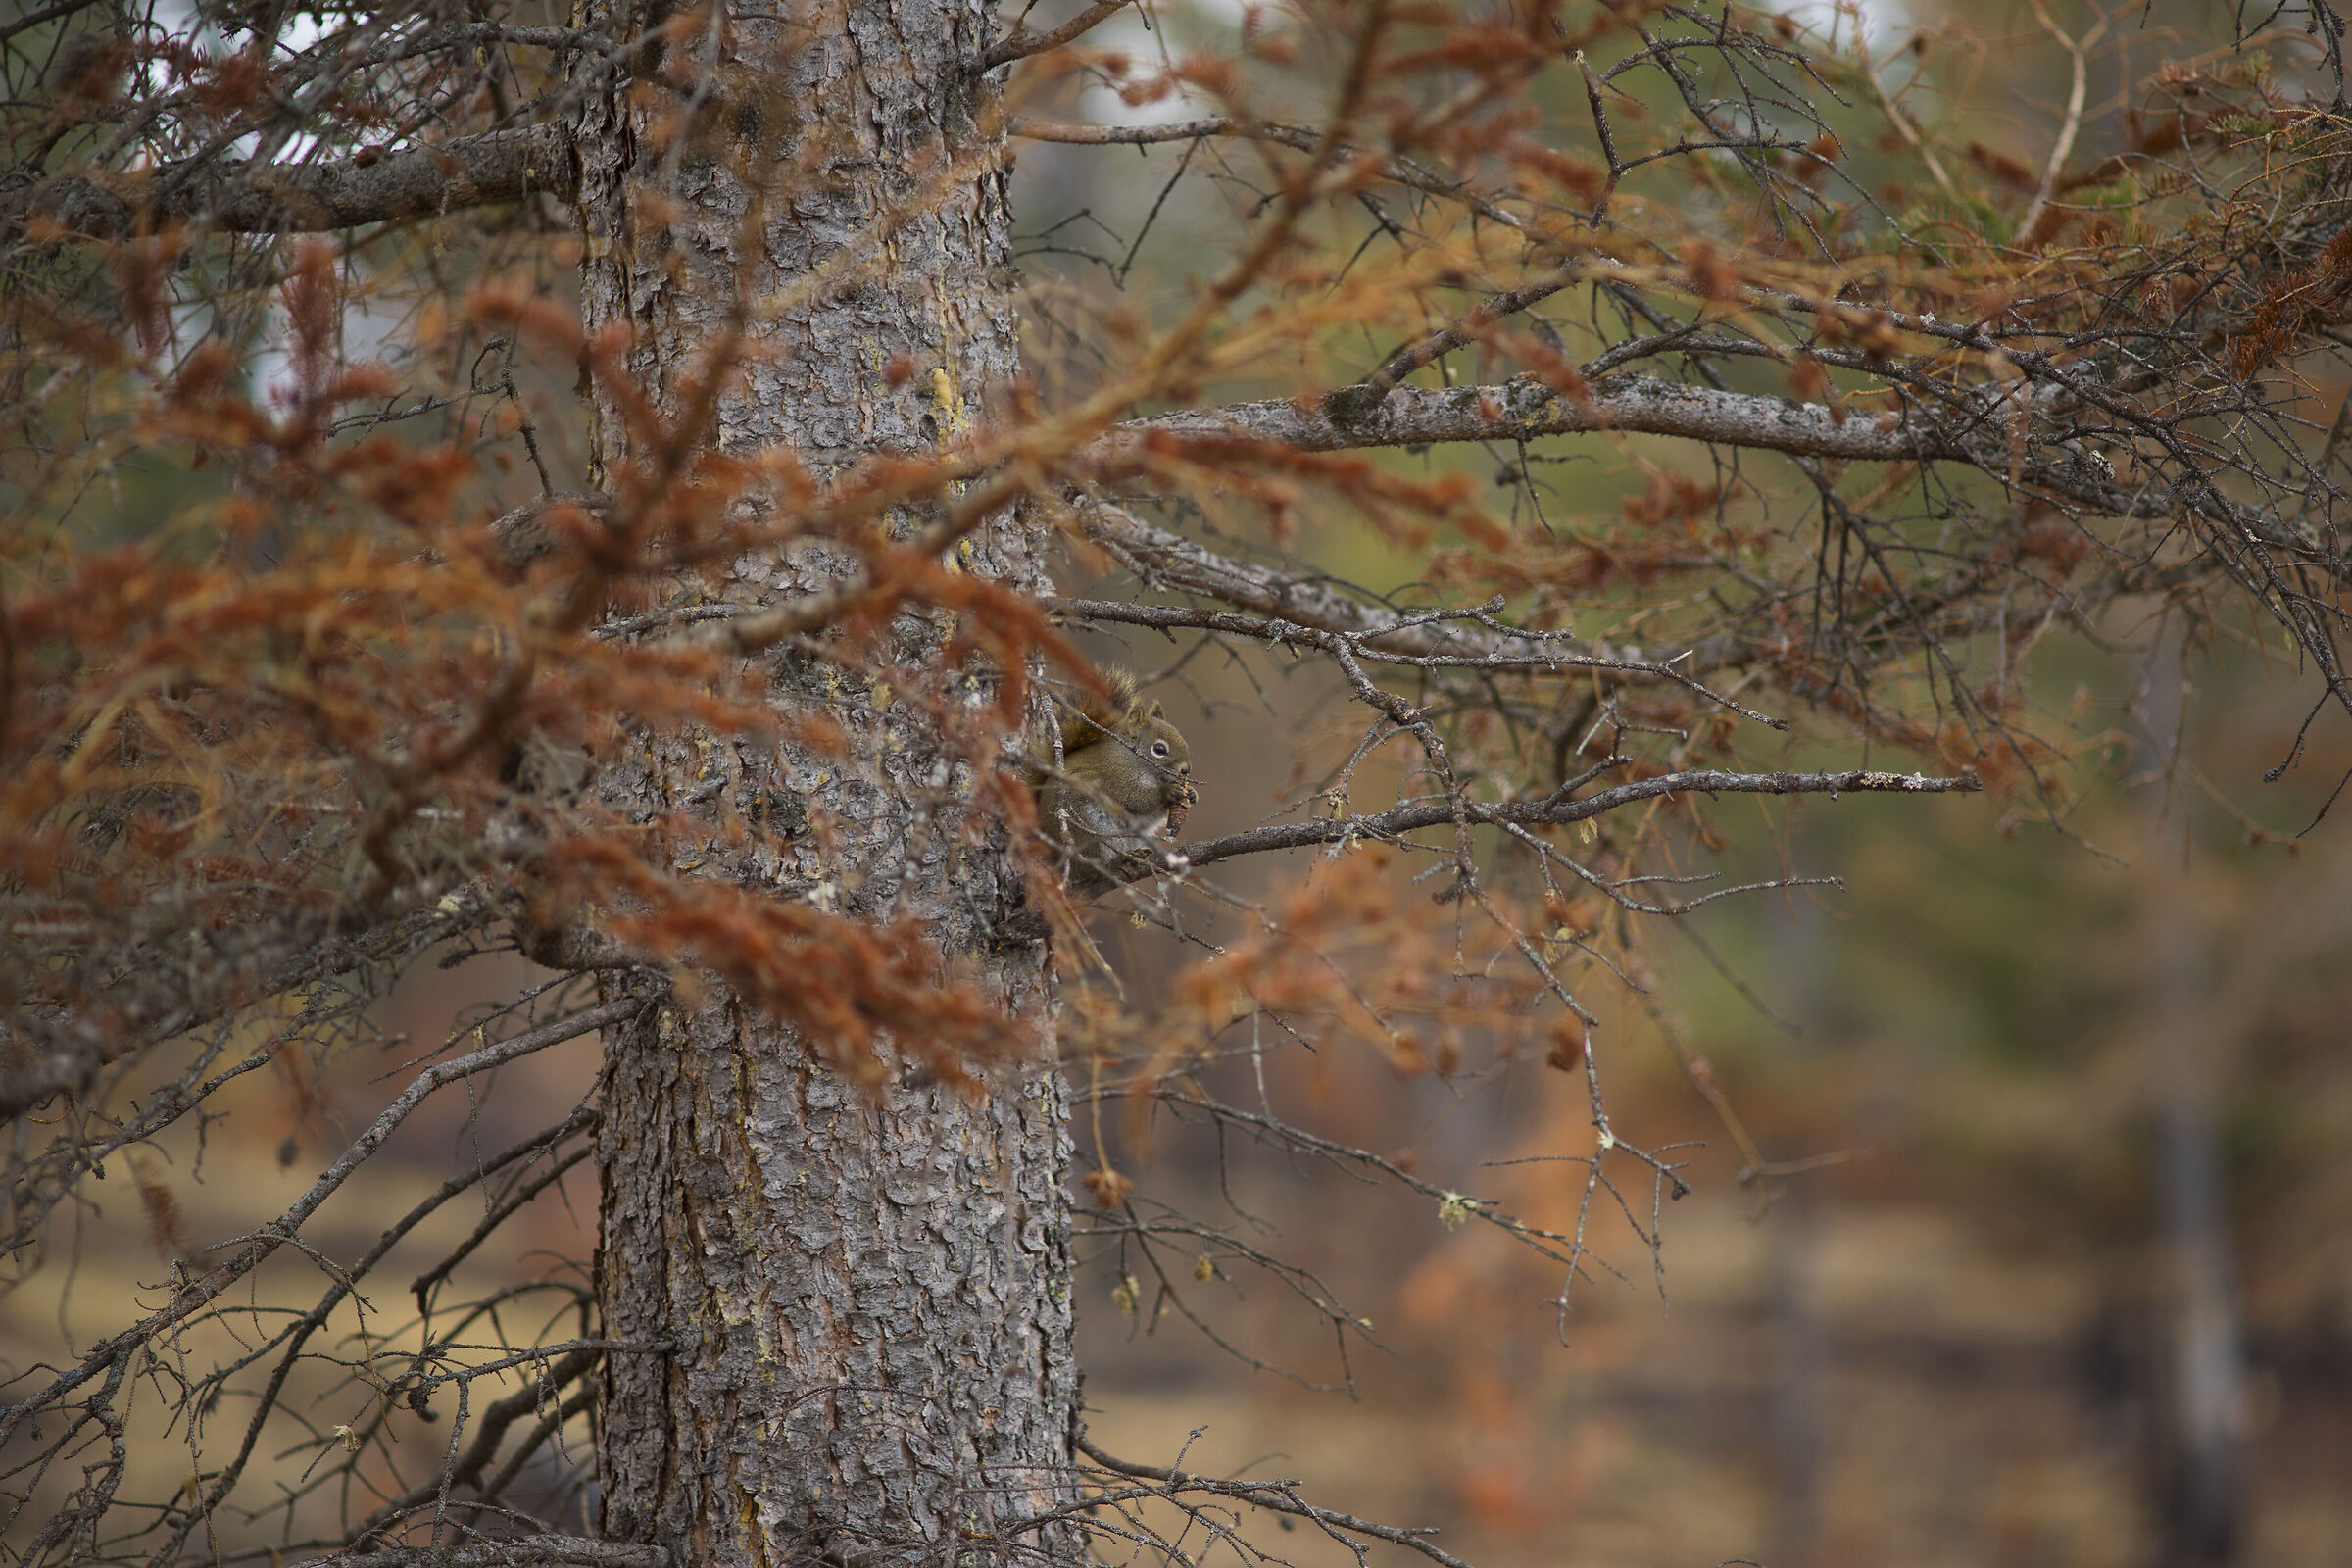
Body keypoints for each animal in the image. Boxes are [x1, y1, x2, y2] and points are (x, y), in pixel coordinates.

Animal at [1032, 669, 1196, 896]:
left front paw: (1192, 794)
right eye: (1159, 749)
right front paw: (1167, 791)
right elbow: (1135, 799)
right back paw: (1115, 864)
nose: (1185, 770)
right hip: (1084, 829)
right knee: (1092, 870)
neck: (1133, 759)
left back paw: (1136, 854)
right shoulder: (1114, 775)